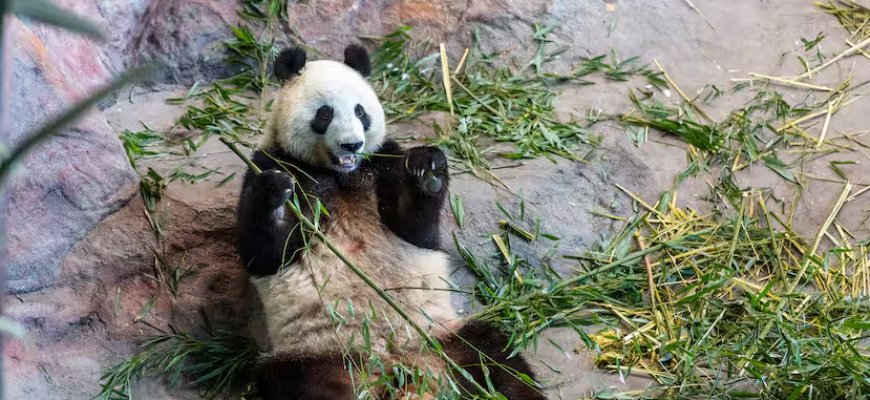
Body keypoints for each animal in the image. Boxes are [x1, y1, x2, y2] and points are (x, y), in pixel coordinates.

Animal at [235, 44, 548, 400]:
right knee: (296, 384)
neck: (341, 174)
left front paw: (428, 170)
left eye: (360, 112)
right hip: (317, 359)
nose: (352, 144)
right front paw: (273, 191)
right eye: (325, 114)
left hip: (445, 338)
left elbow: (415, 229)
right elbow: (267, 253)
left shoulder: (382, 162)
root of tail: (401, 371)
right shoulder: (277, 161)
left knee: (498, 362)